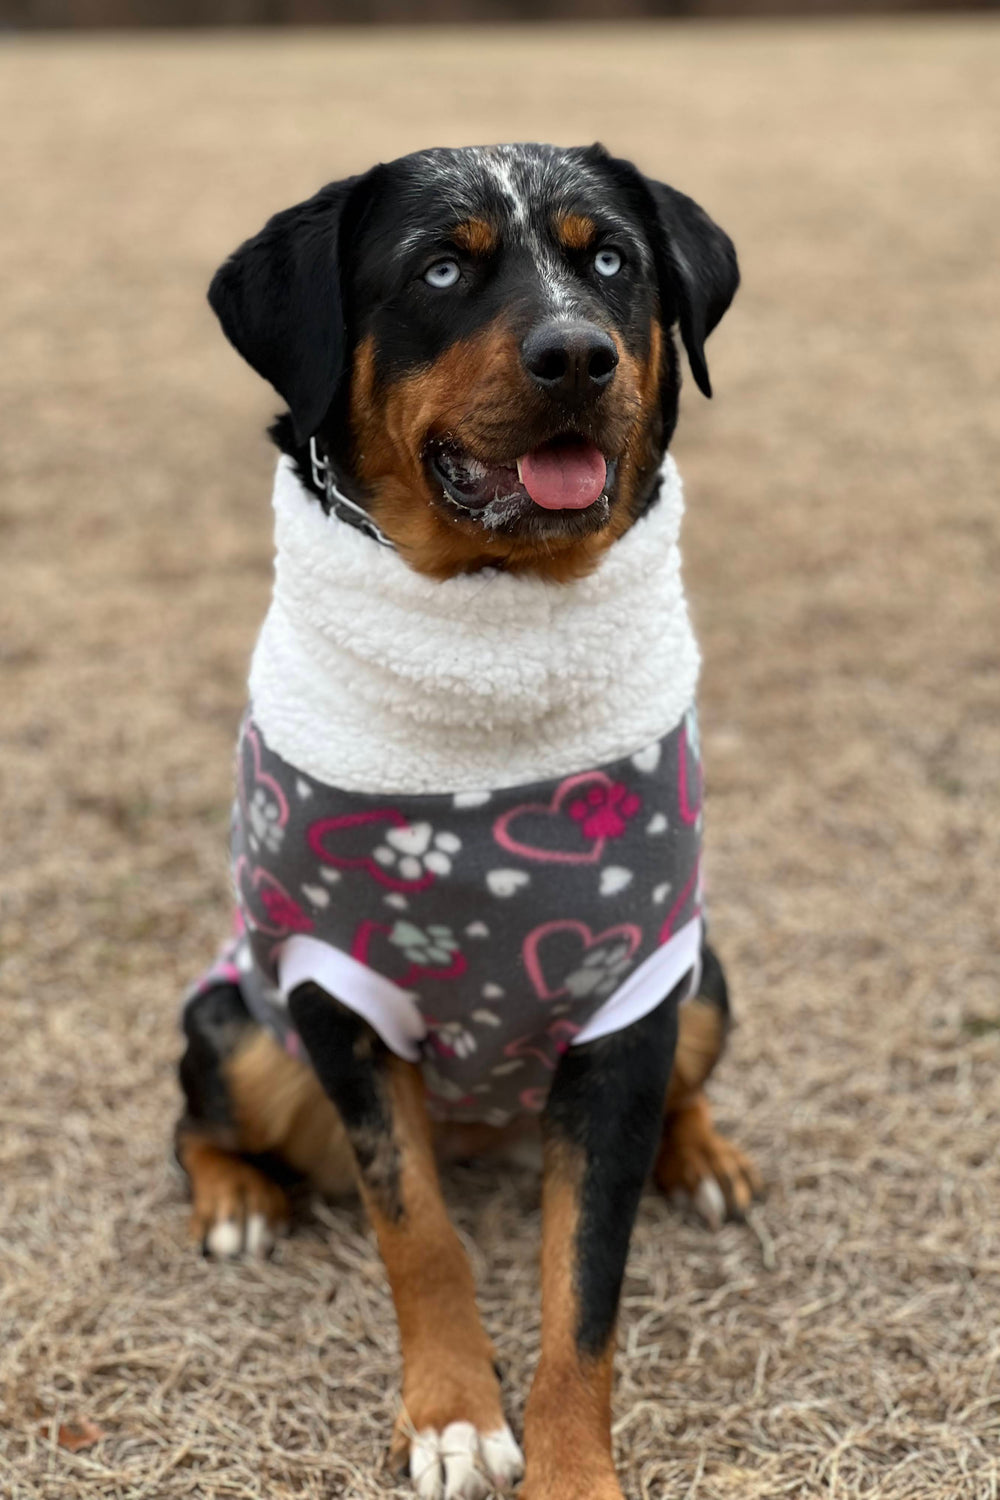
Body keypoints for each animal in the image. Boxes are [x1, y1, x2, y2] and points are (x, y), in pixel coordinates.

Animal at [177, 143, 758, 1500]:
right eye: (441, 269)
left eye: (612, 261)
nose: (577, 356)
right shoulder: (332, 993)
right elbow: (419, 1230)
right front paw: (450, 1414)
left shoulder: (625, 1005)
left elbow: (582, 1288)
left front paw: (570, 1469)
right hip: (240, 1022)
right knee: (198, 1112)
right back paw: (234, 1199)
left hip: (701, 975)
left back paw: (703, 1156)